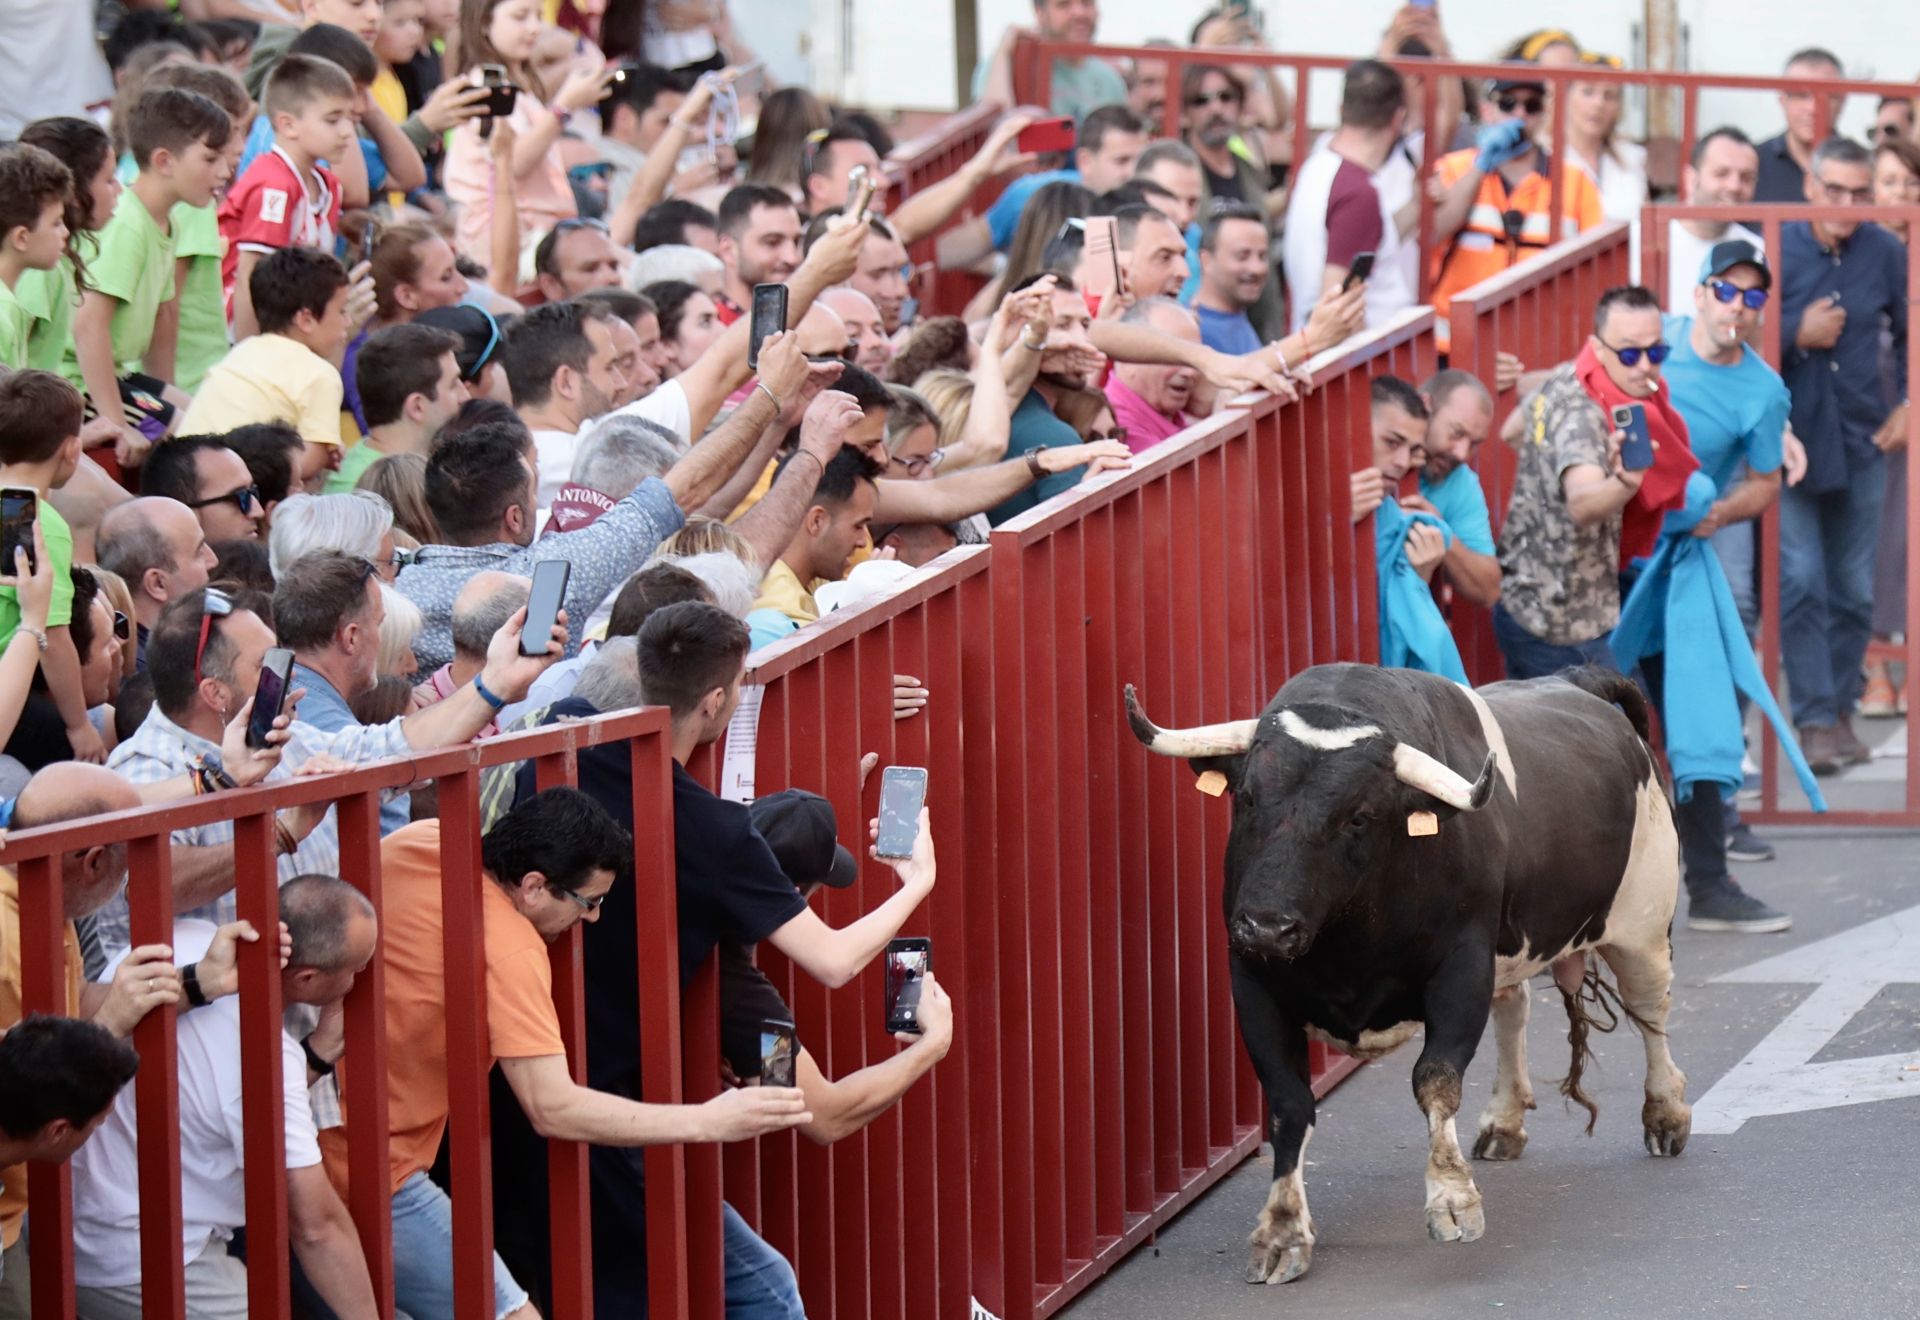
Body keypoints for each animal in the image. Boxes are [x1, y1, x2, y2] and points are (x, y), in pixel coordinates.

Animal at [1121, 663, 1697, 1281]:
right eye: (1248, 798)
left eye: (1359, 817)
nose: (1267, 926)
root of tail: (1578, 680)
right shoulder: (1252, 984)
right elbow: (1289, 1103)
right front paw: (1281, 1230)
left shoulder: (1460, 972)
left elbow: (1436, 1080)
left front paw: (1452, 1197)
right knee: (1514, 1009)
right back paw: (1505, 1120)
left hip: (1643, 927)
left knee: (1650, 1013)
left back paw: (1665, 1114)